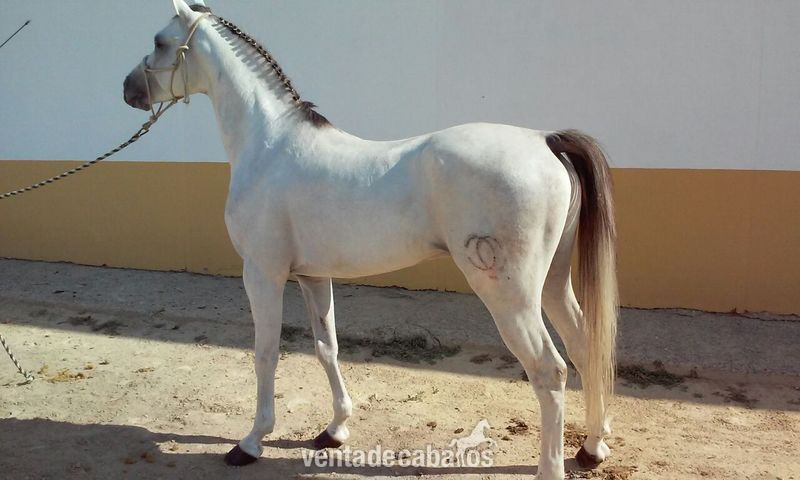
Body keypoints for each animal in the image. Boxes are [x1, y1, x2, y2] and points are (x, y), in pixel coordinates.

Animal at [123, 2, 618, 478]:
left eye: (160, 41)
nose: (129, 90)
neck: (269, 147)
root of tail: (544, 140)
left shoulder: (262, 274)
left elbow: (265, 352)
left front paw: (250, 443)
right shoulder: (312, 277)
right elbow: (327, 348)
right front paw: (335, 429)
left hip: (511, 297)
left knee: (549, 370)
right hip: (552, 282)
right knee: (583, 346)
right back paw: (592, 447)